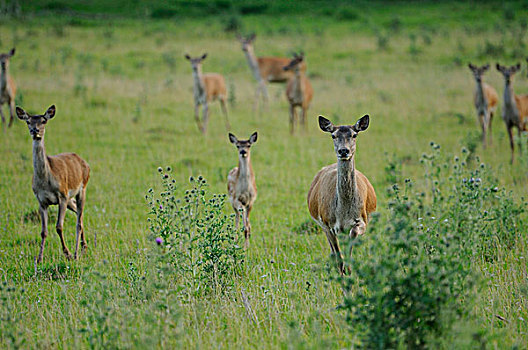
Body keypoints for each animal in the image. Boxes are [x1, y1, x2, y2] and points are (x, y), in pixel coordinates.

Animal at [16, 104, 91, 262]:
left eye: (43, 121)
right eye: (28, 121)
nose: (35, 131)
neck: (46, 182)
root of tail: (85, 163)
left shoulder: (62, 195)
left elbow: (58, 226)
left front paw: (68, 254)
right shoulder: (41, 201)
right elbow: (43, 231)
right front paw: (39, 258)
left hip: (82, 189)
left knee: (79, 221)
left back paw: (77, 253)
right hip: (70, 199)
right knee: (78, 213)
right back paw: (84, 247)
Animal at [308, 115, 378, 274]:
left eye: (354, 135)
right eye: (333, 135)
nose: (344, 151)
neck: (343, 214)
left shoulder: (363, 219)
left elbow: (353, 237)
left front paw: (349, 270)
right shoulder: (327, 224)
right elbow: (338, 257)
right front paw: (343, 275)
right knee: (334, 253)